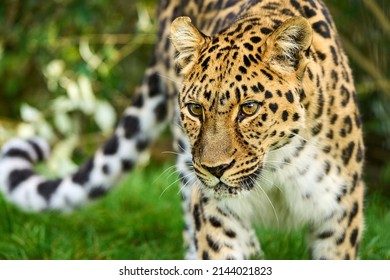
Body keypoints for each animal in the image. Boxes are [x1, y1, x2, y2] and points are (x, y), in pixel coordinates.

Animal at [0, 0, 366, 260]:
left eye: (249, 108)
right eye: (195, 109)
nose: (215, 169)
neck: (279, 167)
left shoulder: (340, 216)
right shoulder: (215, 212)